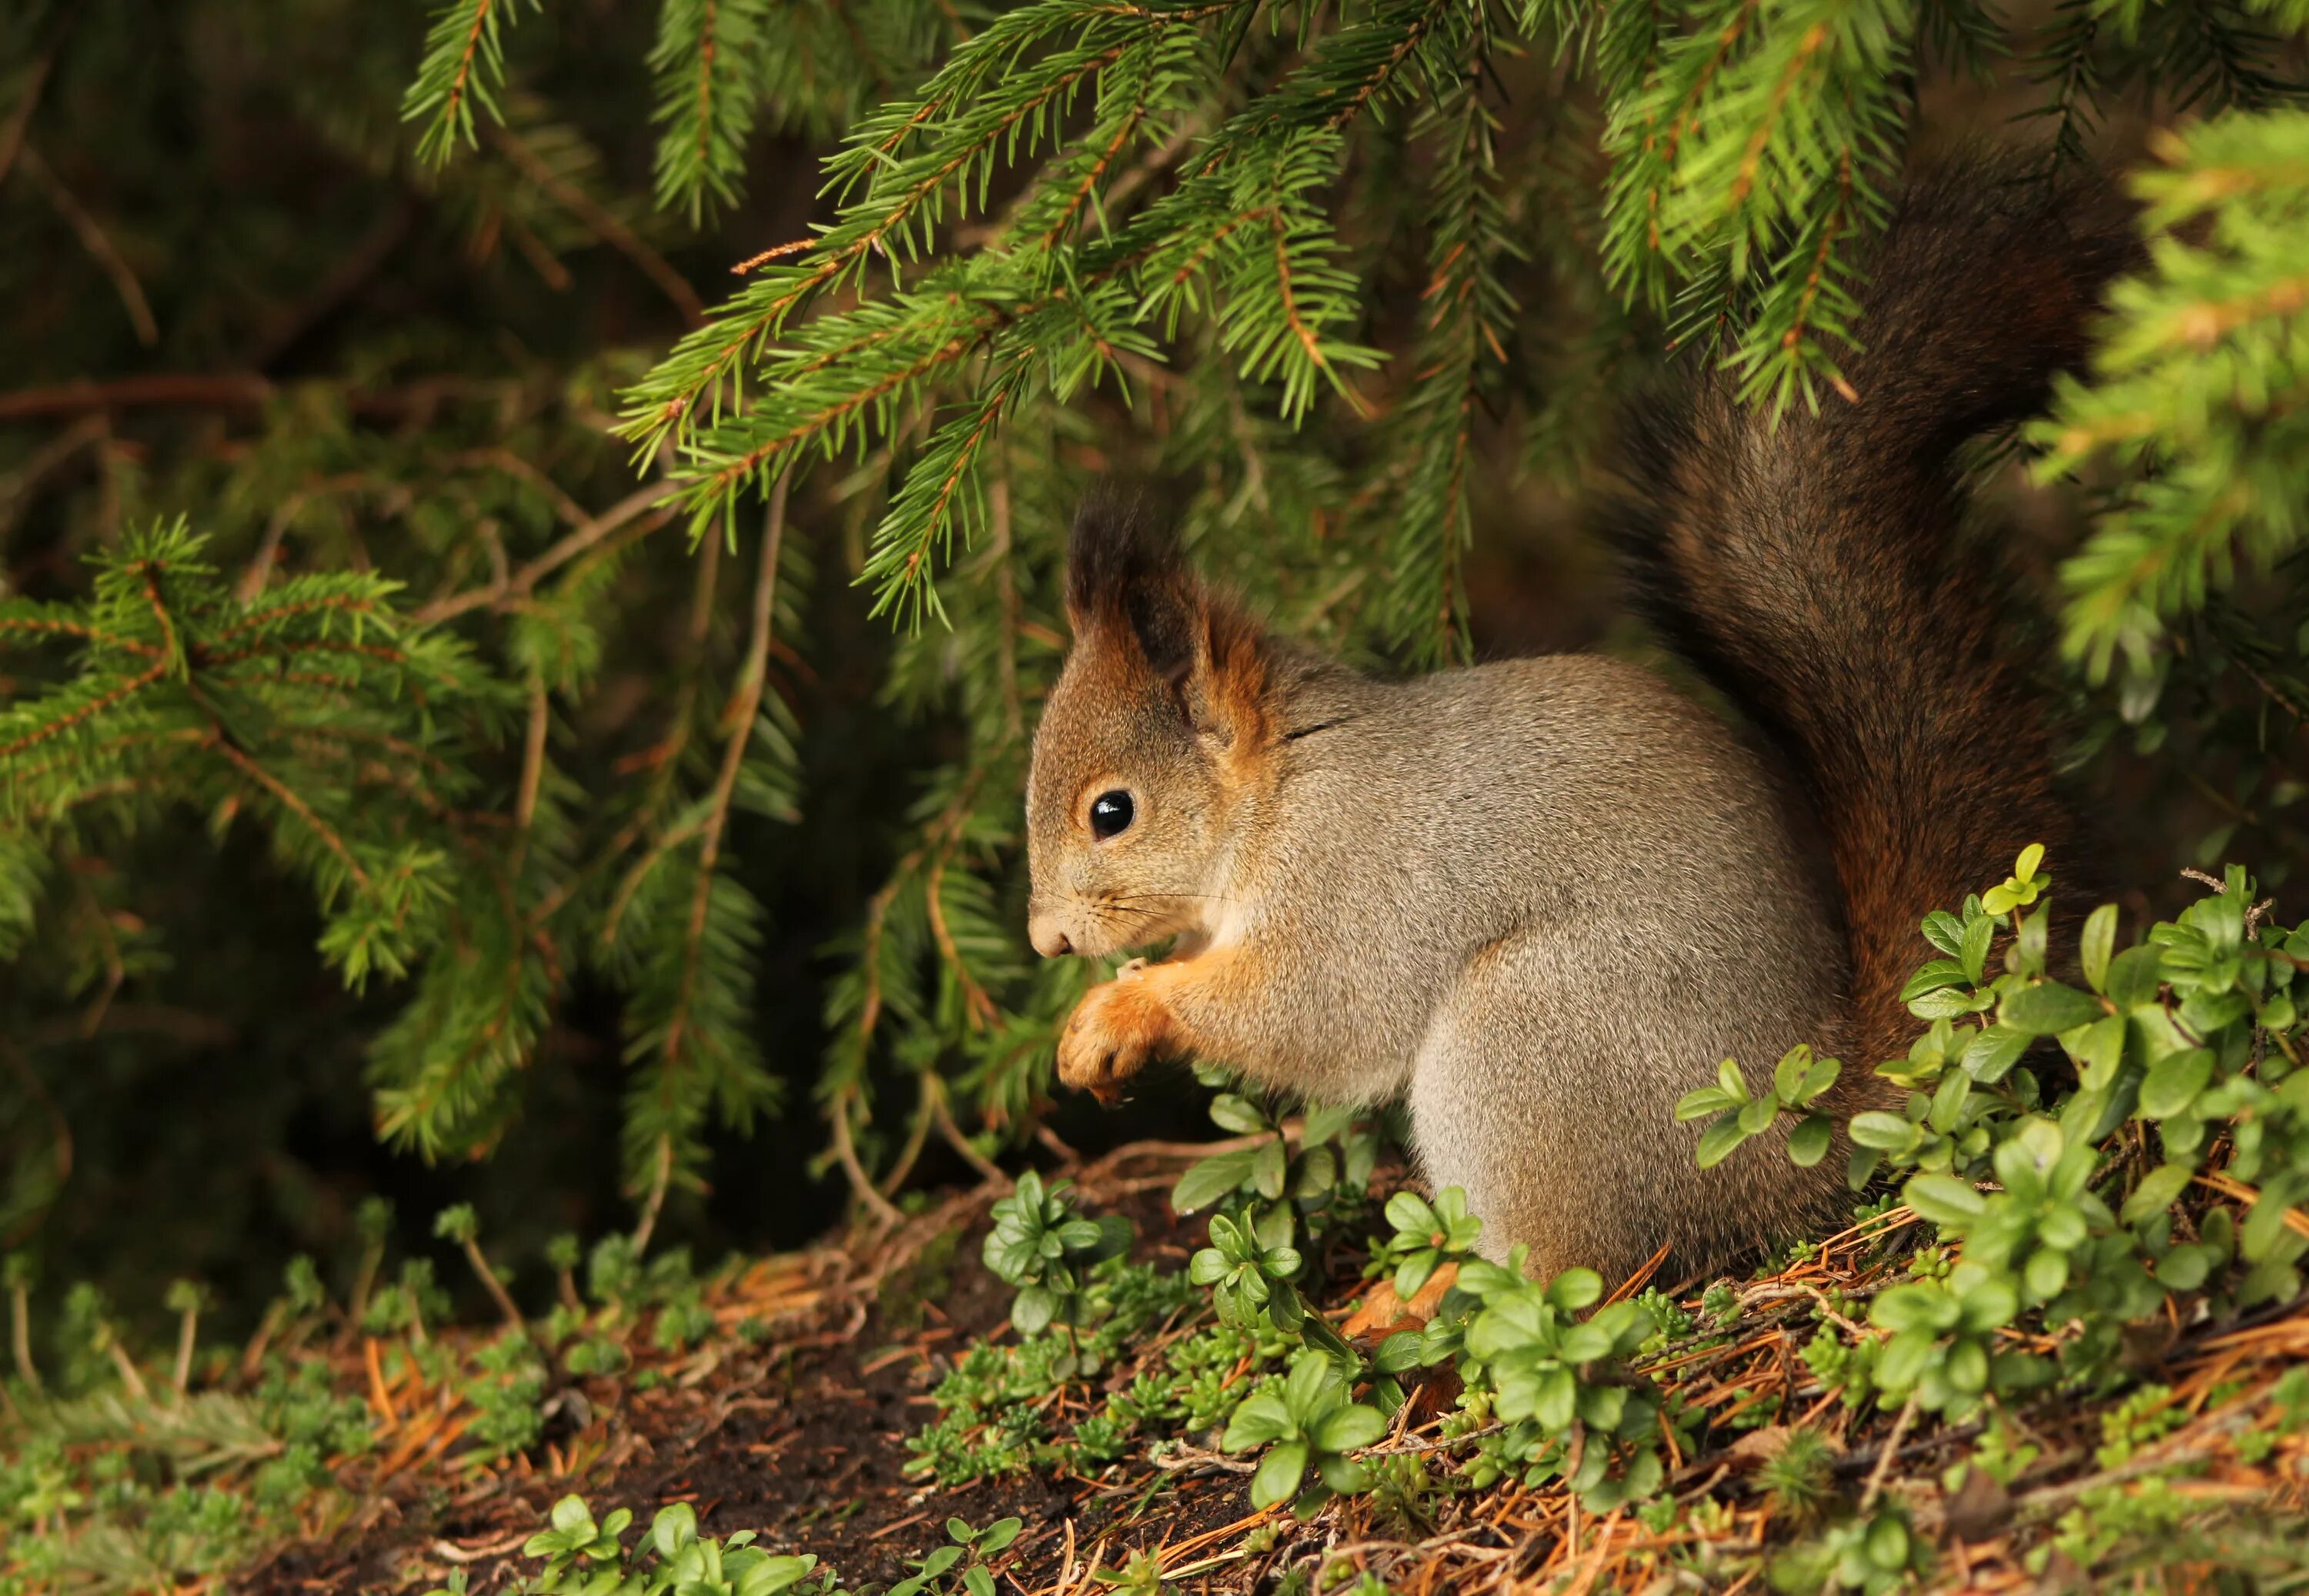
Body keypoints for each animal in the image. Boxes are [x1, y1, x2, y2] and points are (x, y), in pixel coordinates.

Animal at [1022, 160, 2141, 1285]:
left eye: (1112, 811)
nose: (1044, 939)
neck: (1281, 789)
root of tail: (1790, 1128)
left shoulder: (1353, 882)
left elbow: (1316, 1012)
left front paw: (1123, 1010)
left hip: (1532, 1034)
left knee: (1572, 1272)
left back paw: (1422, 1300)